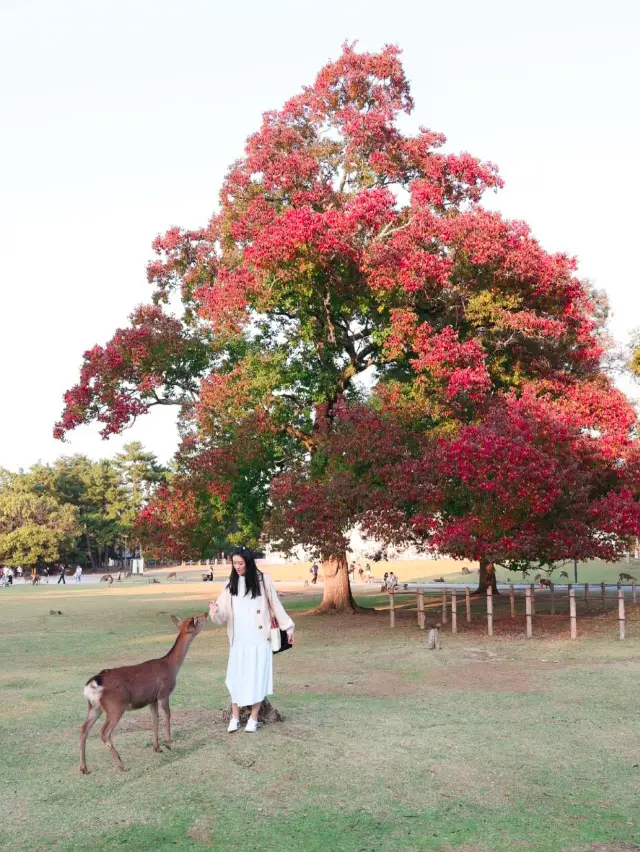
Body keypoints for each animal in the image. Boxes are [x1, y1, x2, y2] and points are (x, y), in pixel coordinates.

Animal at [79, 608, 206, 776]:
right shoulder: (164, 692)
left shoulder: (152, 699)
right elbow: (167, 716)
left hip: (94, 707)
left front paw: (157, 748)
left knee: (83, 729)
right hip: (115, 707)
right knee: (104, 732)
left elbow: (155, 720)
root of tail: (93, 683)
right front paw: (169, 744)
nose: (206, 613)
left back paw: (84, 768)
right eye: (197, 619)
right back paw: (122, 766)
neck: (171, 667)